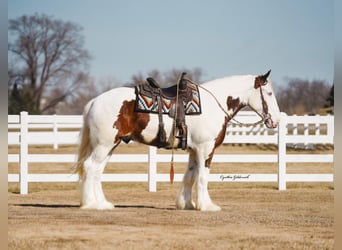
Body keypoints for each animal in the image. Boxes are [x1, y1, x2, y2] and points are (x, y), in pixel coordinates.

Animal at [75, 70, 280, 211]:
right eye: (269, 93)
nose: (275, 121)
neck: (212, 105)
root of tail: (94, 101)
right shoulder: (206, 149)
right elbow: (203, 176)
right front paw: (207, 206)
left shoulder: (194, 150)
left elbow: (190, 176)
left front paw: (187, 203)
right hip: (104, 145)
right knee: (90, 167)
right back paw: (91, 203)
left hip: (110, 146)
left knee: (97, 171)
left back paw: (102, 203)